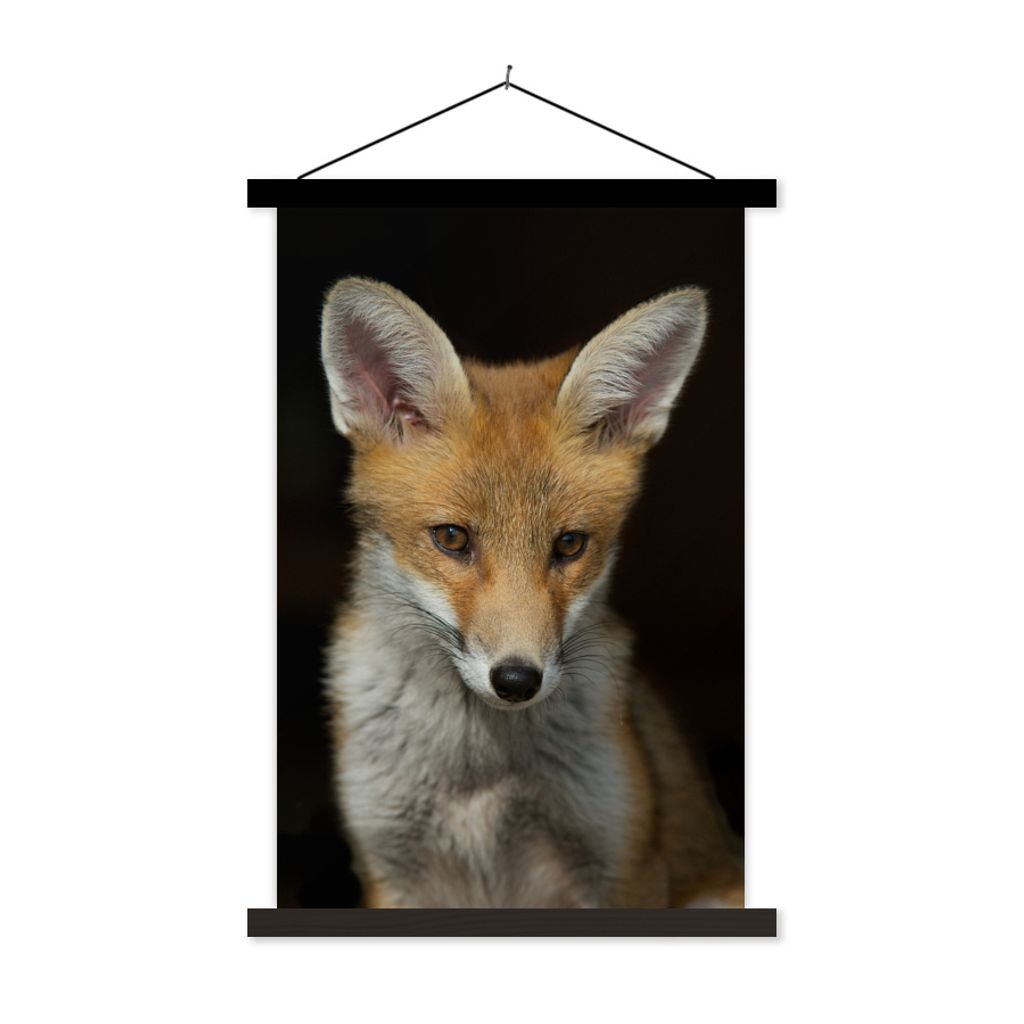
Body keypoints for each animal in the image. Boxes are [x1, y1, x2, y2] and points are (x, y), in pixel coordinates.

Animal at [319, 277, 743, 909]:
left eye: (569, 544)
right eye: (452, 538)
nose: (517, 680)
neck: (479, 773)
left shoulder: (622, 864)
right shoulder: (389, 866)